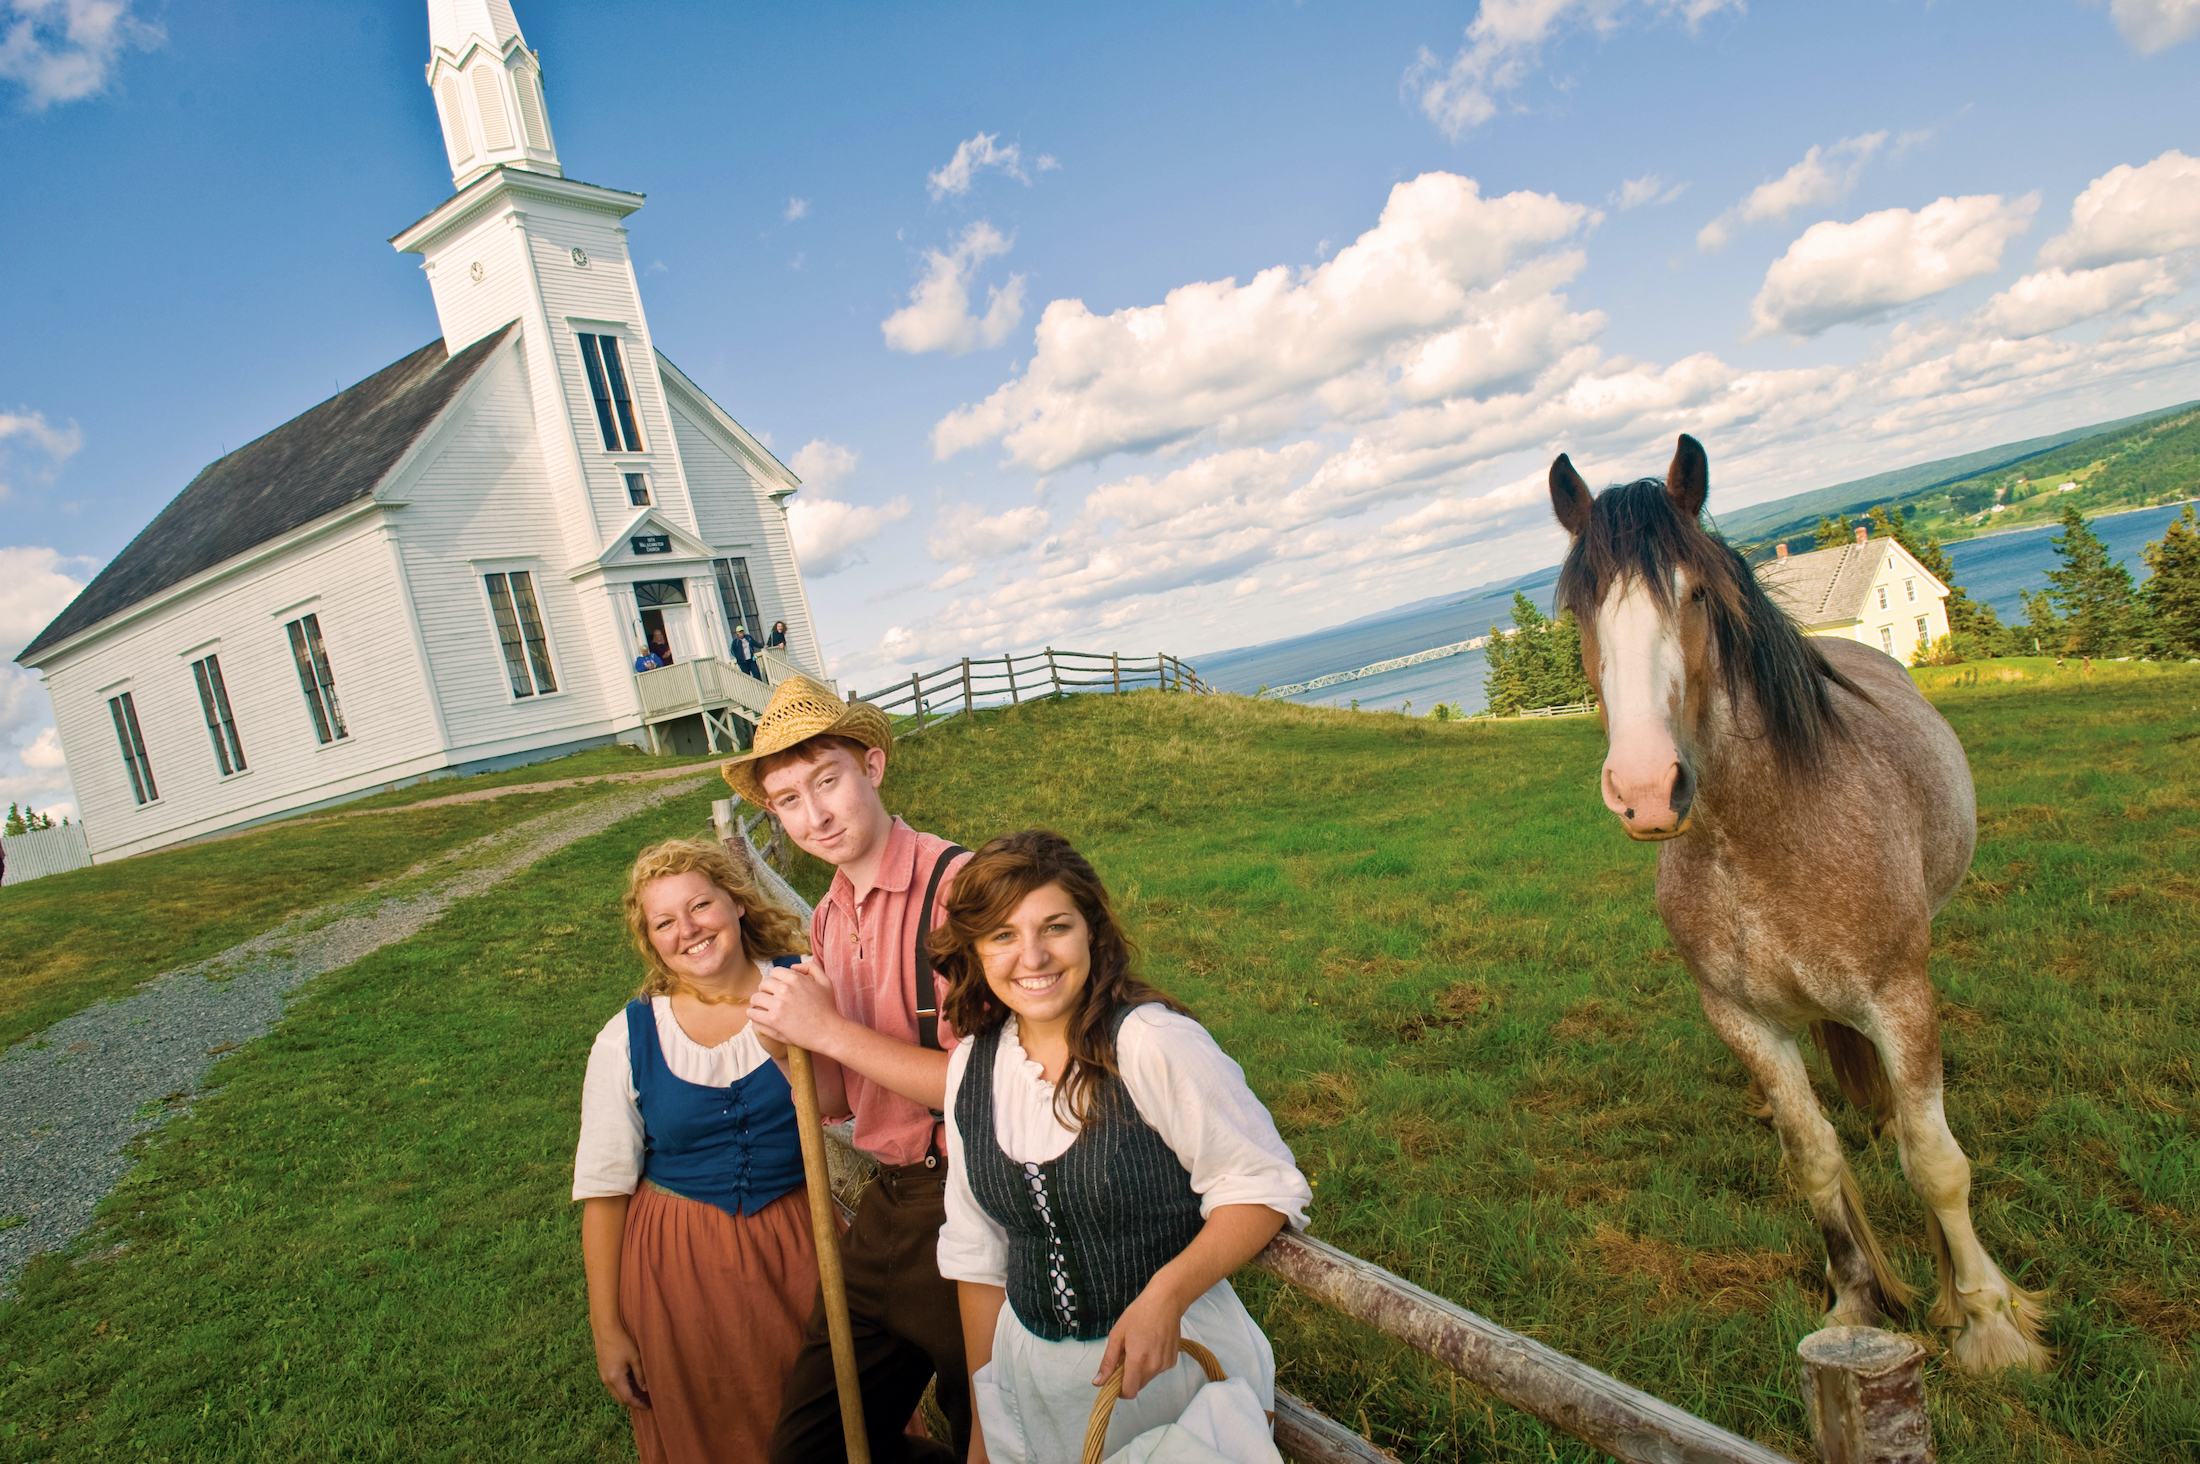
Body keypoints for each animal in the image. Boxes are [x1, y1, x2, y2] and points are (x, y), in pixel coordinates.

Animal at [1548, 433, 2041, 1373]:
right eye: (1581, 613)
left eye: (1697, 594)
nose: (1645, 787)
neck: (1759, 840)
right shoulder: (1742, 1019)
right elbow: (1812, 1158)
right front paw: (1859, 1300)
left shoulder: (1901, 997)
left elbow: (1937, 1161)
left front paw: (1988, 1321)